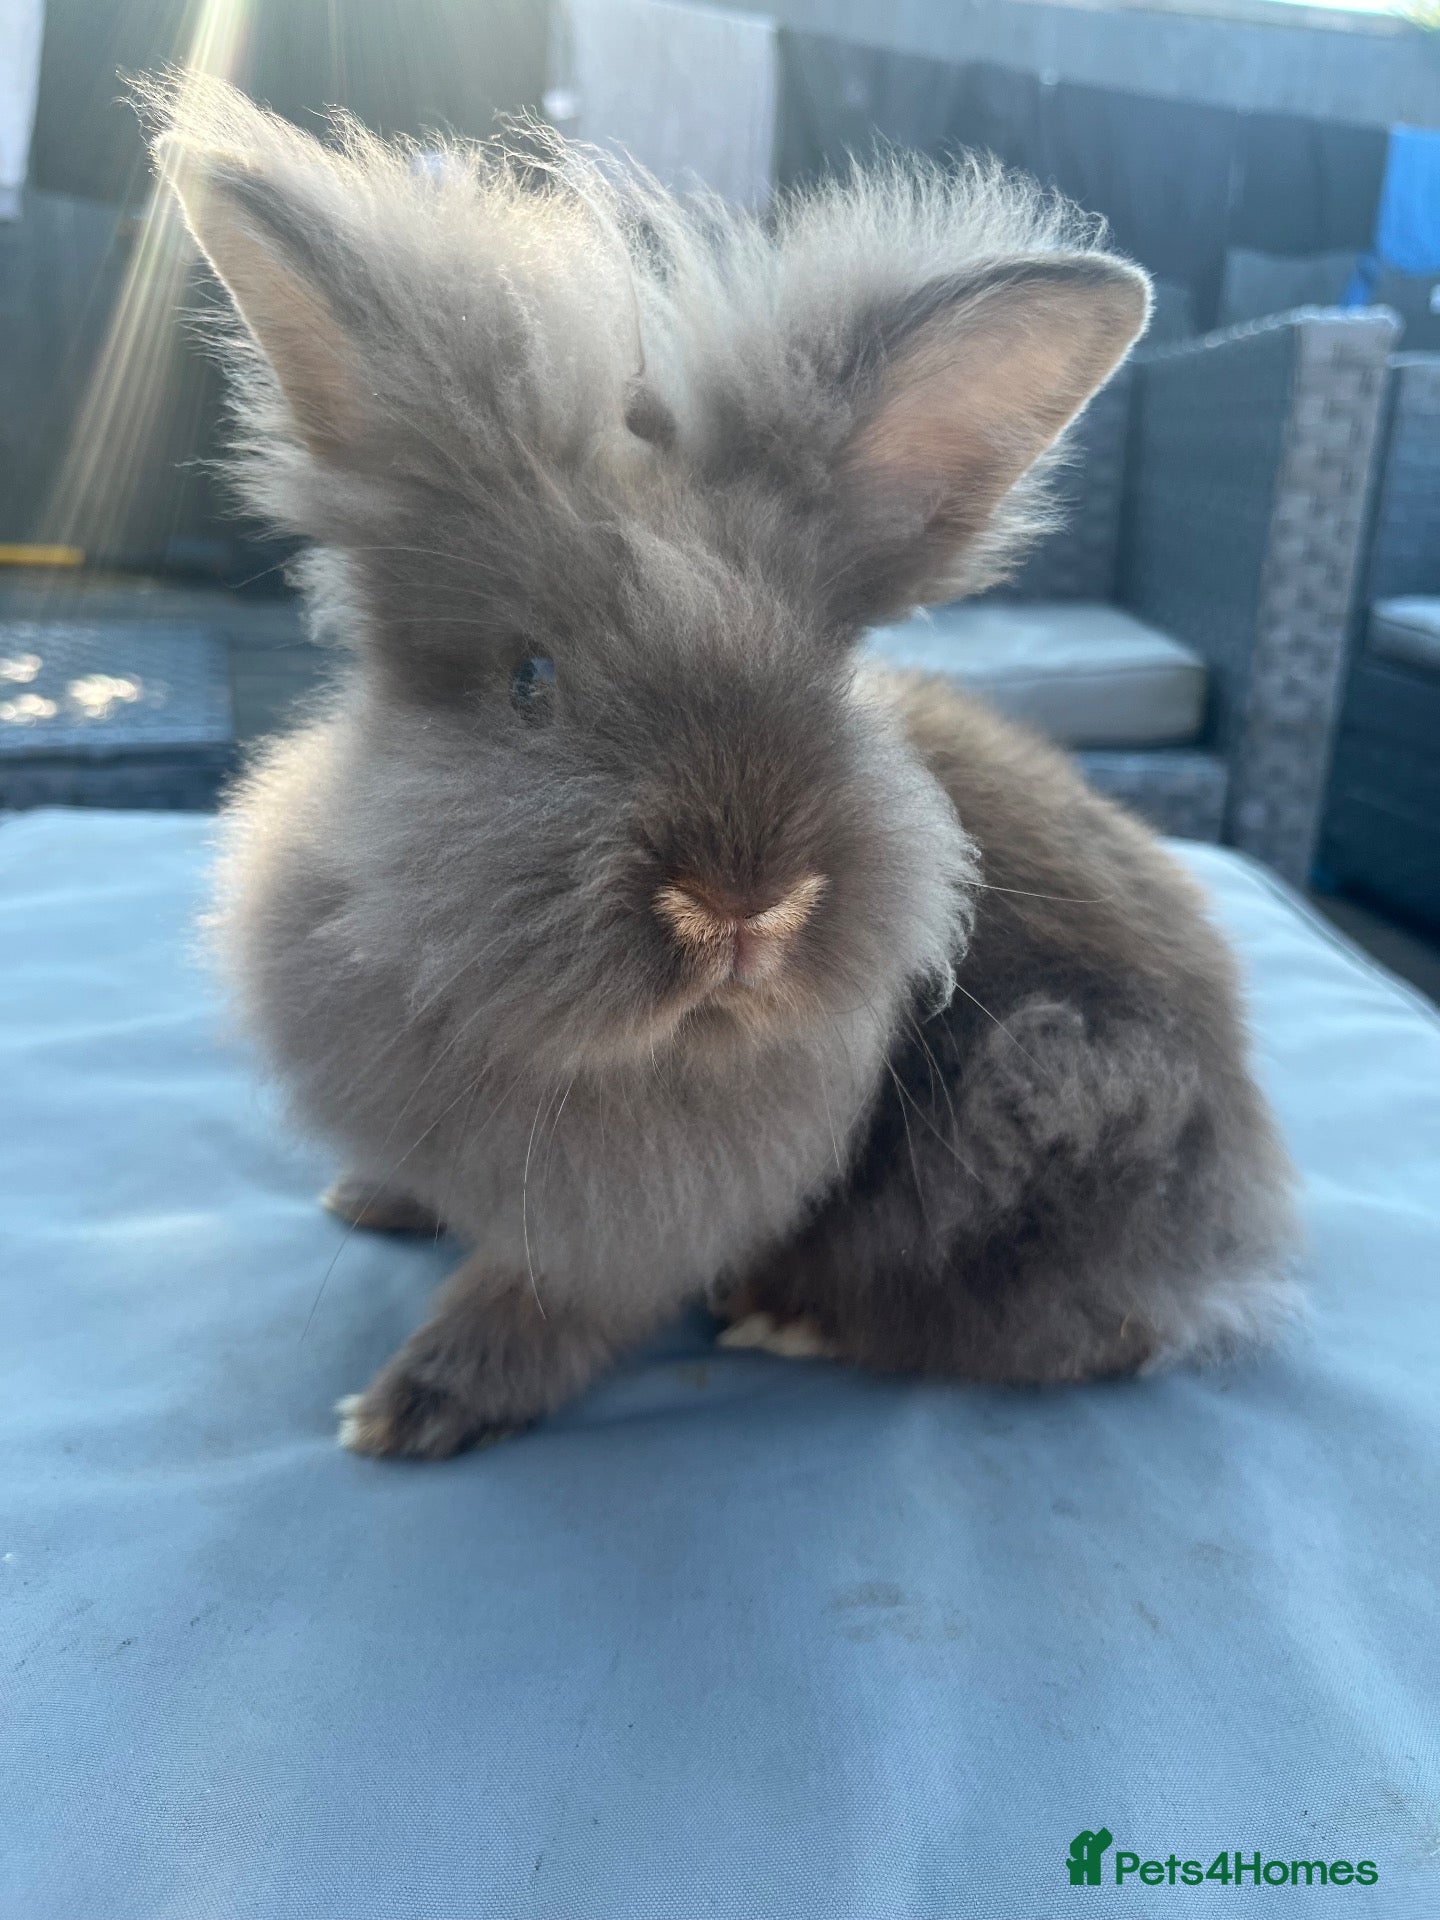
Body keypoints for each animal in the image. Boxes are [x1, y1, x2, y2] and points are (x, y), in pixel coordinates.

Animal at [149, 76, 1299, 1459]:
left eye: (830, 674)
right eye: (530, 679)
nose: (743, 902)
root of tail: (1231, 1224)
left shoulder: (630, 1233)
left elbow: (540, 1310)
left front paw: (410, 1410)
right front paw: (375, 1200)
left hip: (1057, 1084)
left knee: (1071, 1328)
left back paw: (790, 1320)